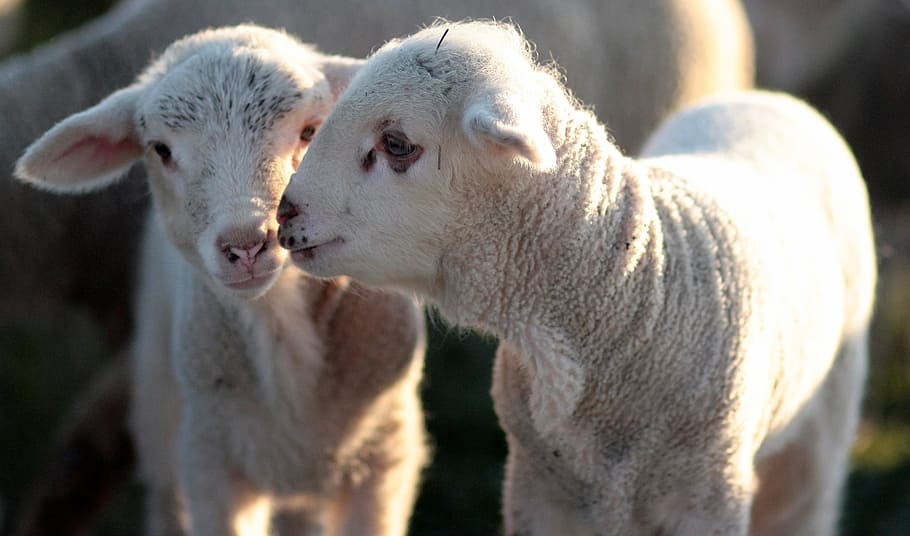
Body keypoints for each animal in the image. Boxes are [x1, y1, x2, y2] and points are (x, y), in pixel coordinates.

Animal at [14, 25, 427, 536]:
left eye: (311, 132)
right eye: (161, 150)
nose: (246, 243)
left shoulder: (387, 454)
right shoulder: (209, 458)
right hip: (160, 409)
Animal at [276, 20, 876, 535]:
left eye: (397, 144)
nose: (284, 213)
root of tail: (772, 99)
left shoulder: (708, 498)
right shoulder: (538, 487)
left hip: (822, 429)